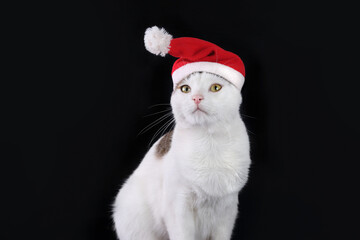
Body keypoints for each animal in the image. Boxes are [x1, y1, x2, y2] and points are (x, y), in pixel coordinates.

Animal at [112, 70, 250, 239]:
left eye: (215, 87)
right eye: (185, 89)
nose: (196, 97)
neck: (208, 142)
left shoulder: (227, 211)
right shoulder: (178, 208)